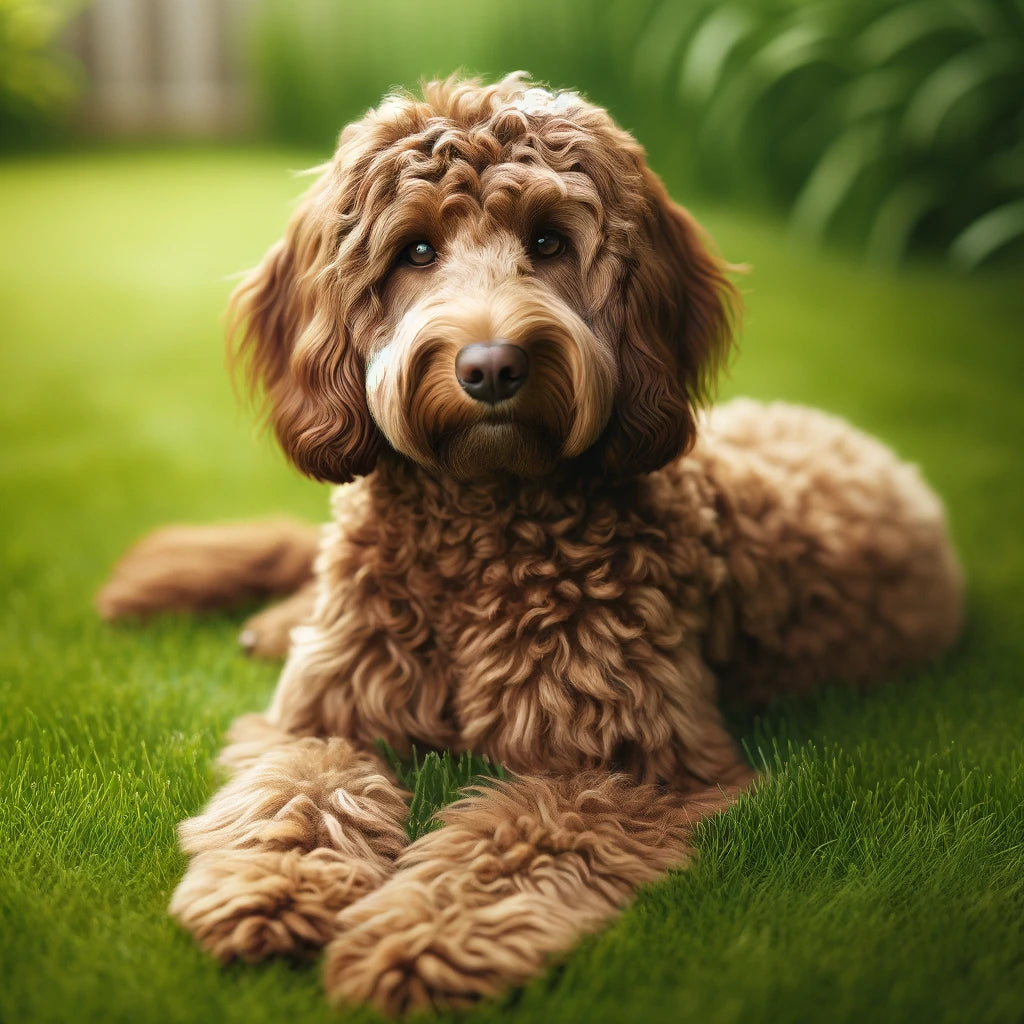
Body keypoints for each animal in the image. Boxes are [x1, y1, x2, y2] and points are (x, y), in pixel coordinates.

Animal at [99, 75, 962, 1011]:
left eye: (548, 240)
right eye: (415, 249)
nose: (490, 367)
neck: (480, 532)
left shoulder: (630, 766)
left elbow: (509, 844)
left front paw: (420, 940)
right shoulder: (323, 719)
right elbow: (297, 793)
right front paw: (270, 889)